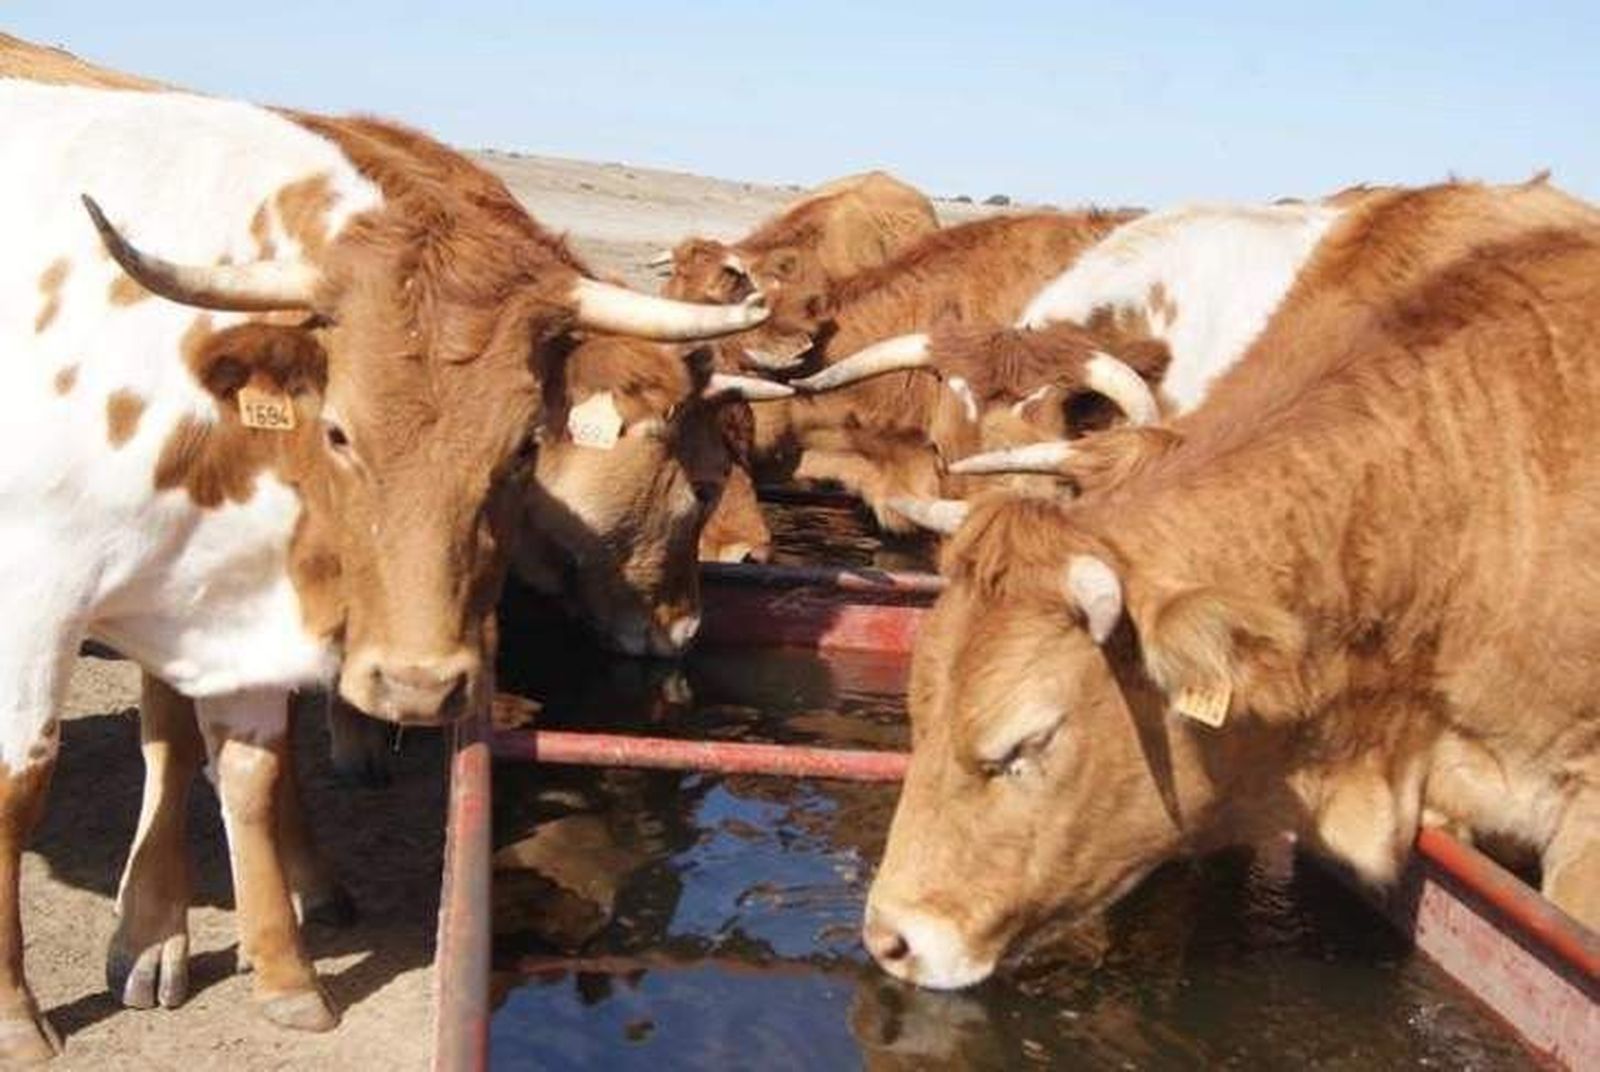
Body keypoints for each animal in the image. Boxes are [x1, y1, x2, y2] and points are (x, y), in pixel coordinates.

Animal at [0, 78, 765, 1056]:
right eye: (338, 431)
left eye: (522, 445)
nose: (418, 688)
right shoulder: (38, 600)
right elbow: (29, 782)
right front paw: (33, 1010)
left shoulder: (234, 609)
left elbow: (245, 766)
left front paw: (285, 969)